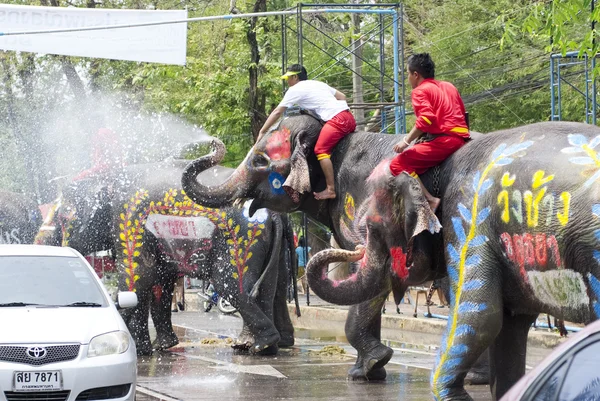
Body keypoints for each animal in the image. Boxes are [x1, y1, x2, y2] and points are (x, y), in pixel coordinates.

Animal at [36, 158, 294, 354]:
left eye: (63, 217)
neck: (110, 177)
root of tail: (273, 214)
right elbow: (159, 280)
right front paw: (161, 347)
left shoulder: (129, 219)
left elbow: (139, 276)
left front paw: (141, 351)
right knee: (272, 289)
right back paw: (262, 347)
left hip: (240, 241)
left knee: (231, 285)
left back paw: (260, 345)